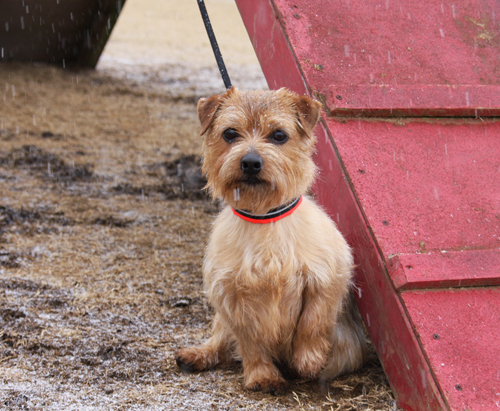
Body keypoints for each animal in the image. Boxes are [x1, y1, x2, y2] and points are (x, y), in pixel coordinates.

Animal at [174, 87, 366, 396]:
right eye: (230, 133)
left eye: (279, 135)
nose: (251, 162)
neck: (263, 217)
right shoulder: (231, 296)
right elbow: (250, 342)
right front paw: (262, 375)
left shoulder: (327, 278)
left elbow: (312, 321)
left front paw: (309, 360)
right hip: (221, 321)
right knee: (221, 341)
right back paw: (198, 354)